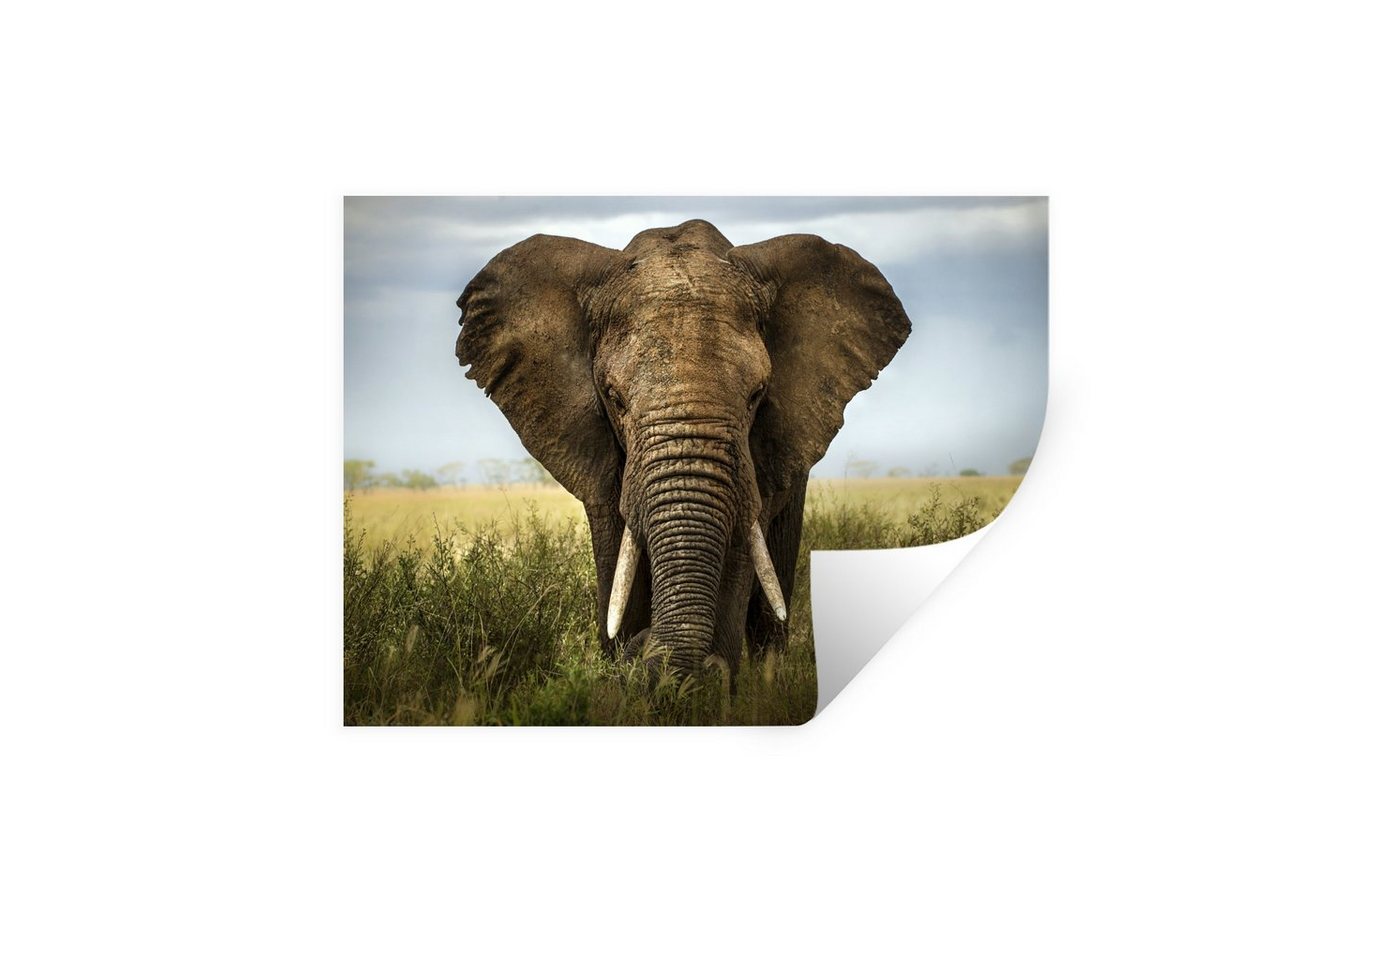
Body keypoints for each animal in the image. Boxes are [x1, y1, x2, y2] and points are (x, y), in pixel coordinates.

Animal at [455, 219, 910, 684]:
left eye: (756, 396)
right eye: (614, 398)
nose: (644, 649)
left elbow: (738, 549)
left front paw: (706, 683)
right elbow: (618, 556)